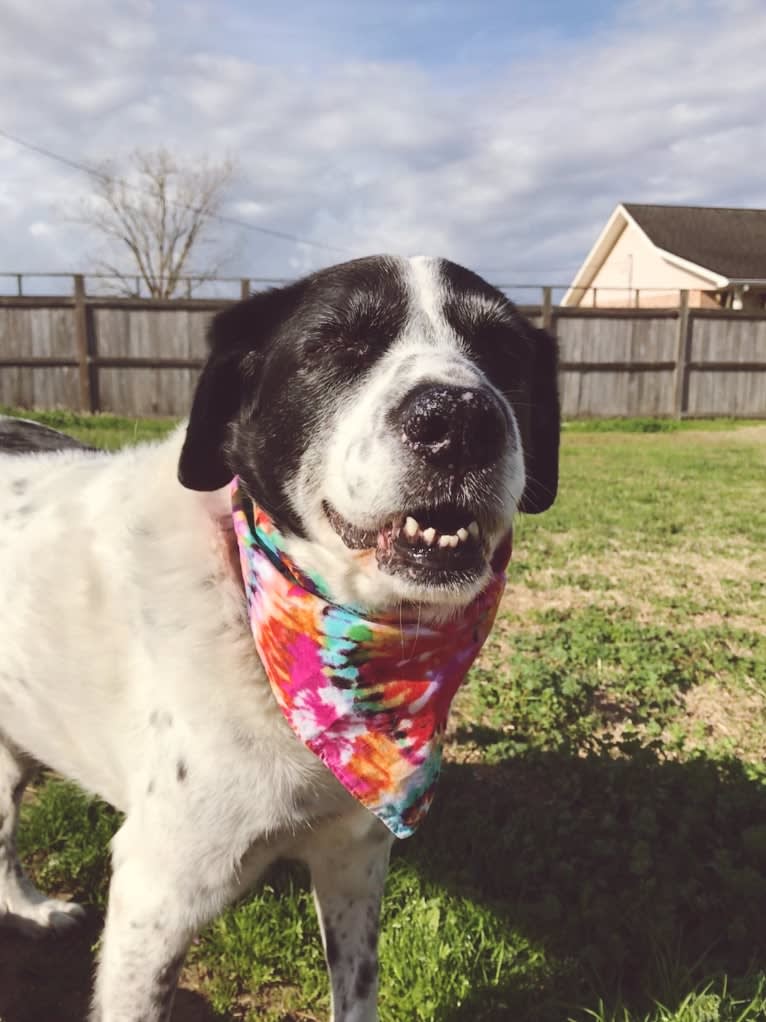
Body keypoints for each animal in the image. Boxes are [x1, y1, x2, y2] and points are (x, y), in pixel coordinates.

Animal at [1, 257, 563, 1021]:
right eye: (333, 343)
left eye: (503, 350)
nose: (459, 419)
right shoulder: (156, 893)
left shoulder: (355, 858)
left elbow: (357, 991)